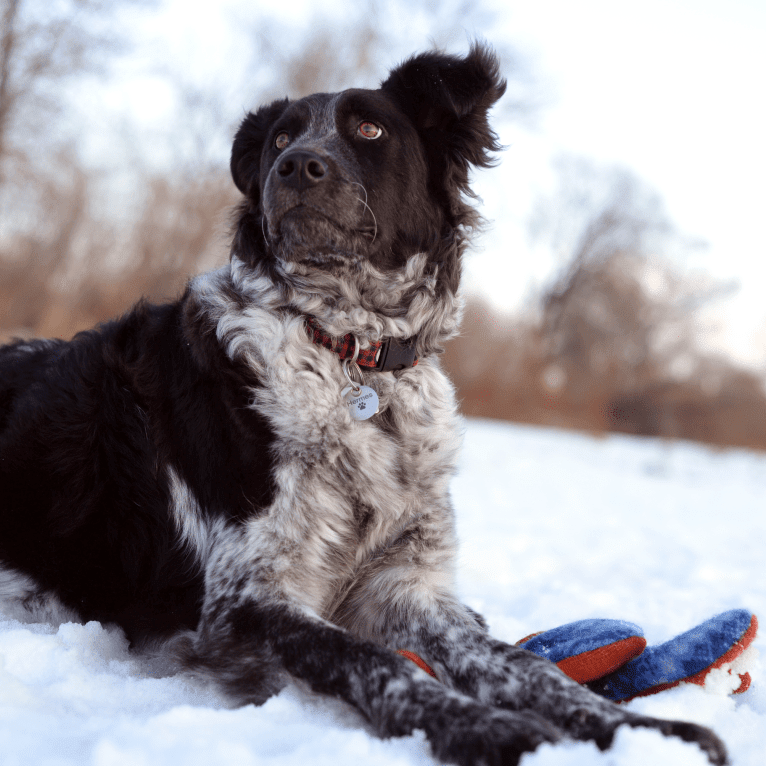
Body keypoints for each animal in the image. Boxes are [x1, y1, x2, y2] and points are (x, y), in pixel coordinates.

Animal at [1, 45, 732, 764]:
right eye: (280, 140)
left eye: (370, 130)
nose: (298, 165)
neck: (349, 353)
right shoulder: (246, 600)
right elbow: (377, 663)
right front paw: (494, 732)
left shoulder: (407, 584)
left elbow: (520, 665)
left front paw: (640, 731)